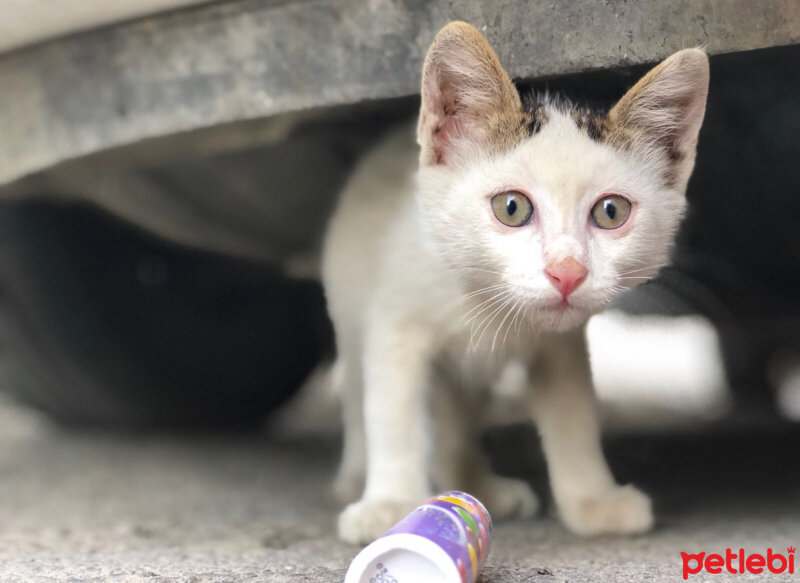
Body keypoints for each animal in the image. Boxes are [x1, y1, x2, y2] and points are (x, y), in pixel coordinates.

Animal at [322, 20, 708, 544]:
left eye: (611, 212)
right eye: (512, 207)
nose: (567, 271)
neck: (487, 305)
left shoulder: (562, 343)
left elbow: (573, 413)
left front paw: (592, 500)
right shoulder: (395, 323)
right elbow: (394, 413)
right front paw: (391, 504)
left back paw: (478, 485)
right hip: (349, 302)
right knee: (359, 393)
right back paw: (356, 475)